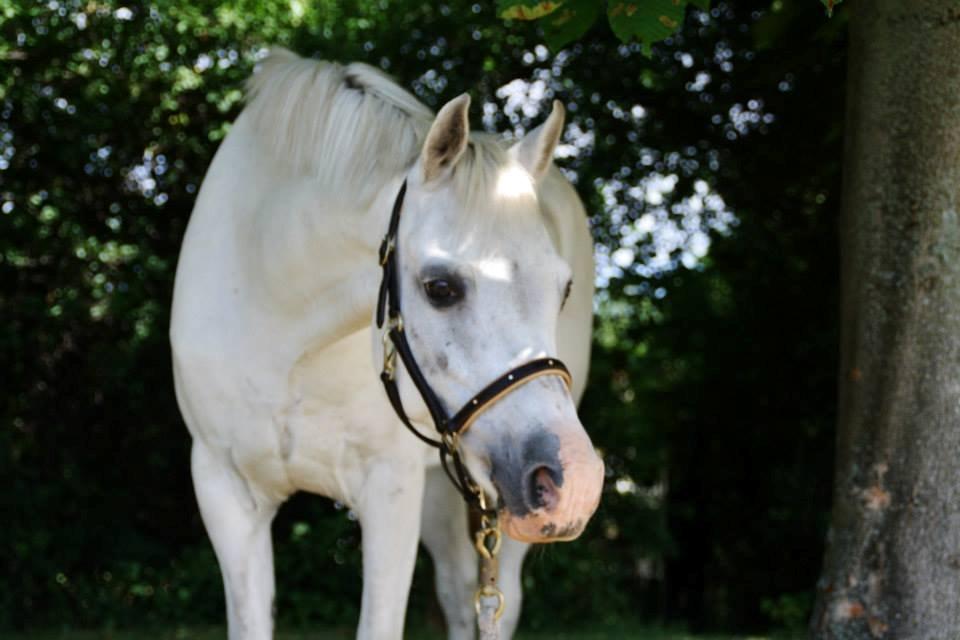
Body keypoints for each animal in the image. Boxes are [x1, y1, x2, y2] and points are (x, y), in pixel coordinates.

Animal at [170, 48, 603, 640]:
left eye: (564, 290)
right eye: (440, 287)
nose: (576, 482)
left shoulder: (390, 489)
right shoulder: (224, 490)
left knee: (498, 601)